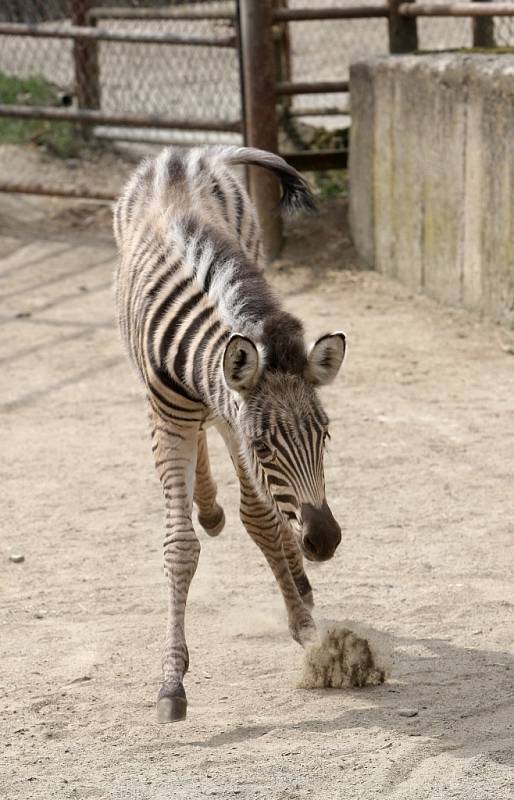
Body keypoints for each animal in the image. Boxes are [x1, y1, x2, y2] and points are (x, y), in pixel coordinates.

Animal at [112, 145, 344, 724]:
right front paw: (171, 681)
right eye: (264, 446)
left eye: (325, 438)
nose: (325, 540)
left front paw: (304, 623)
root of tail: (186, 153)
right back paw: (209, 507)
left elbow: (262, 518)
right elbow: (179, 547)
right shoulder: (173, 414)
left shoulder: (230, 416)